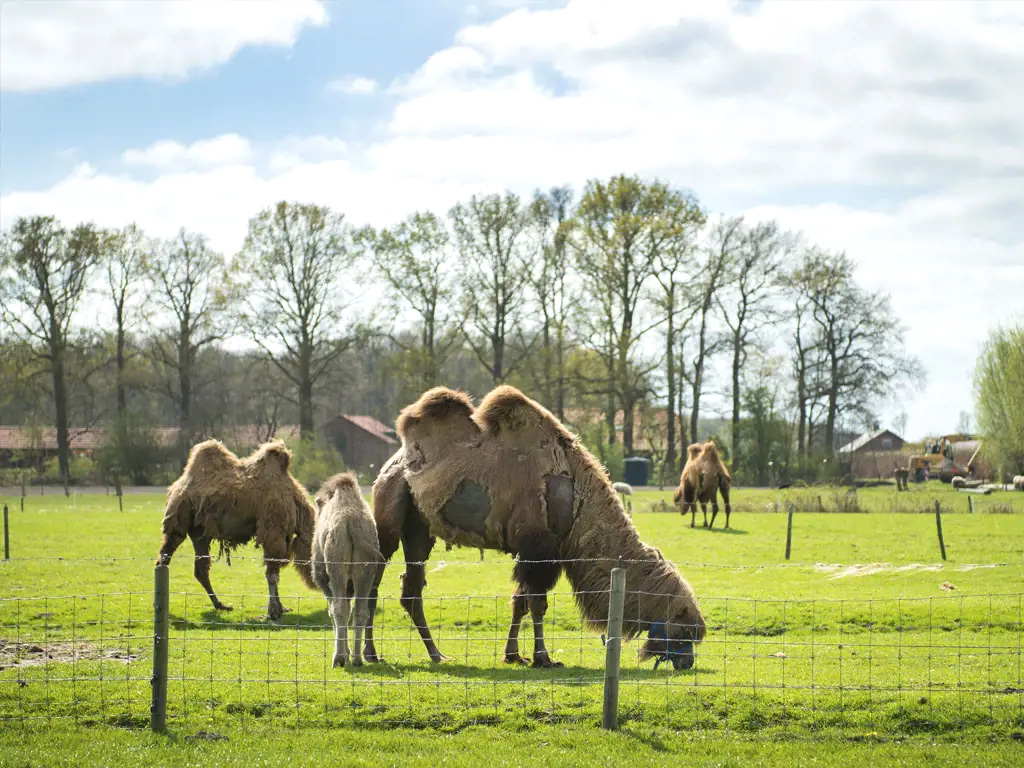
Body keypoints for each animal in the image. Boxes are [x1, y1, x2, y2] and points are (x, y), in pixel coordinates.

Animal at [153, 438, 315, 618]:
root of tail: (175, 486)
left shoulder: (280, 535)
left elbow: (274, 570)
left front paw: (281, 607)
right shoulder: (273, 530)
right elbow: (272, 574)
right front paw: (274, 611)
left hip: (200, 531)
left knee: (200, 568)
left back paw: (220, 604)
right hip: (179, 518)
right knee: (165, 557)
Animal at [311, 473, 385, 671]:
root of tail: (352, 524)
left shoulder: (325, 581)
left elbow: (333, 611)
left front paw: (344, 653)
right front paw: (349, 653)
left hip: (336, 567)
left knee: (339, 609)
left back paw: (338, 659)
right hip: (366, 569)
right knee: (361, 611)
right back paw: (358, 659)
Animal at [364, 387, 708, 671]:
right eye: (685, 630)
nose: (688, 663)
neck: (577, 502)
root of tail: (393, 462)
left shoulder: (531, 553)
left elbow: (520, 603)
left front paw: (514, 655)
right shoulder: (540, 550)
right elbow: (538, 605)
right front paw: (543, 658)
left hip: (419, 529)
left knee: (411, 589)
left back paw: (436, 654)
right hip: (390, 512)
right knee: (374, 579)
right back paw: (370, 654)